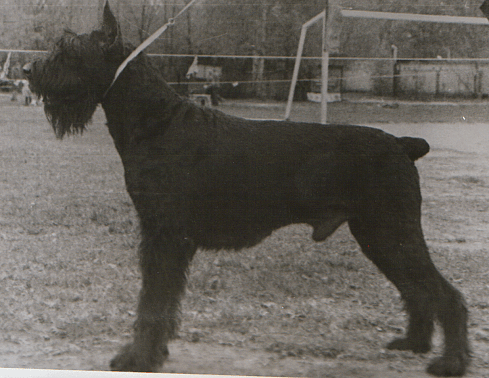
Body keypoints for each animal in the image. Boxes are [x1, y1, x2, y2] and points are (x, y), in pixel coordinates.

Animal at [23, 2, 468, 376]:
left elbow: (153, 302)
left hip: (391, 232)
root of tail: (402, 144)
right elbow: (164, 302)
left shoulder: (164, 235)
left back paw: (450, 363)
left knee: (446, 294)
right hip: (379, 238)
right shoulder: (165, 238)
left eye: (69, 49)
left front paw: (138, 358)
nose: (27, 70)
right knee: (417, 290)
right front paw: (155, 352)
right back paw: (414, 342)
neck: (157, 121)